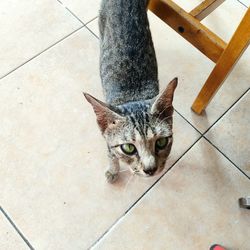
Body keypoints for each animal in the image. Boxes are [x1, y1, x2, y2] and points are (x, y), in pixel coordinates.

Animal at [84, 0, 178, 184]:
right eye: (128, 148)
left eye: (161, 142)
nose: (151, 169)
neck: (134, 95)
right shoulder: (108, 141)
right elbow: (111, 155)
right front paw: (113, 170)